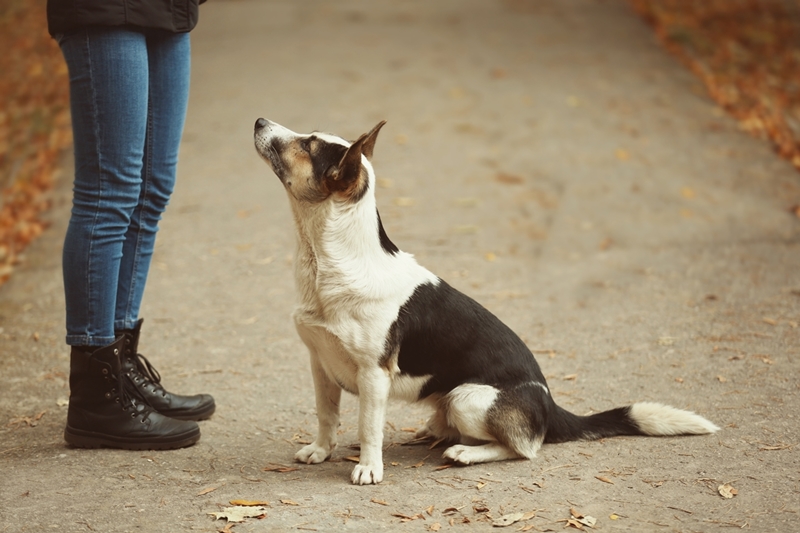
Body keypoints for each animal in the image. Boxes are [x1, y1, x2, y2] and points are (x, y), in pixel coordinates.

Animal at [252, 118, 720, 484]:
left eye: (308, 145)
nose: (258, 121)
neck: (329, 262)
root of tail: (550, 405)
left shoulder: (373, 375)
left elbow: (370, 428)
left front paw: (369, 468)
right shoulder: (320, 362)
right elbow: (326, 414)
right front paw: (320, 451)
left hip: (467, 397)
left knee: (523, 449)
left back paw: (466, 452)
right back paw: (436, 432)